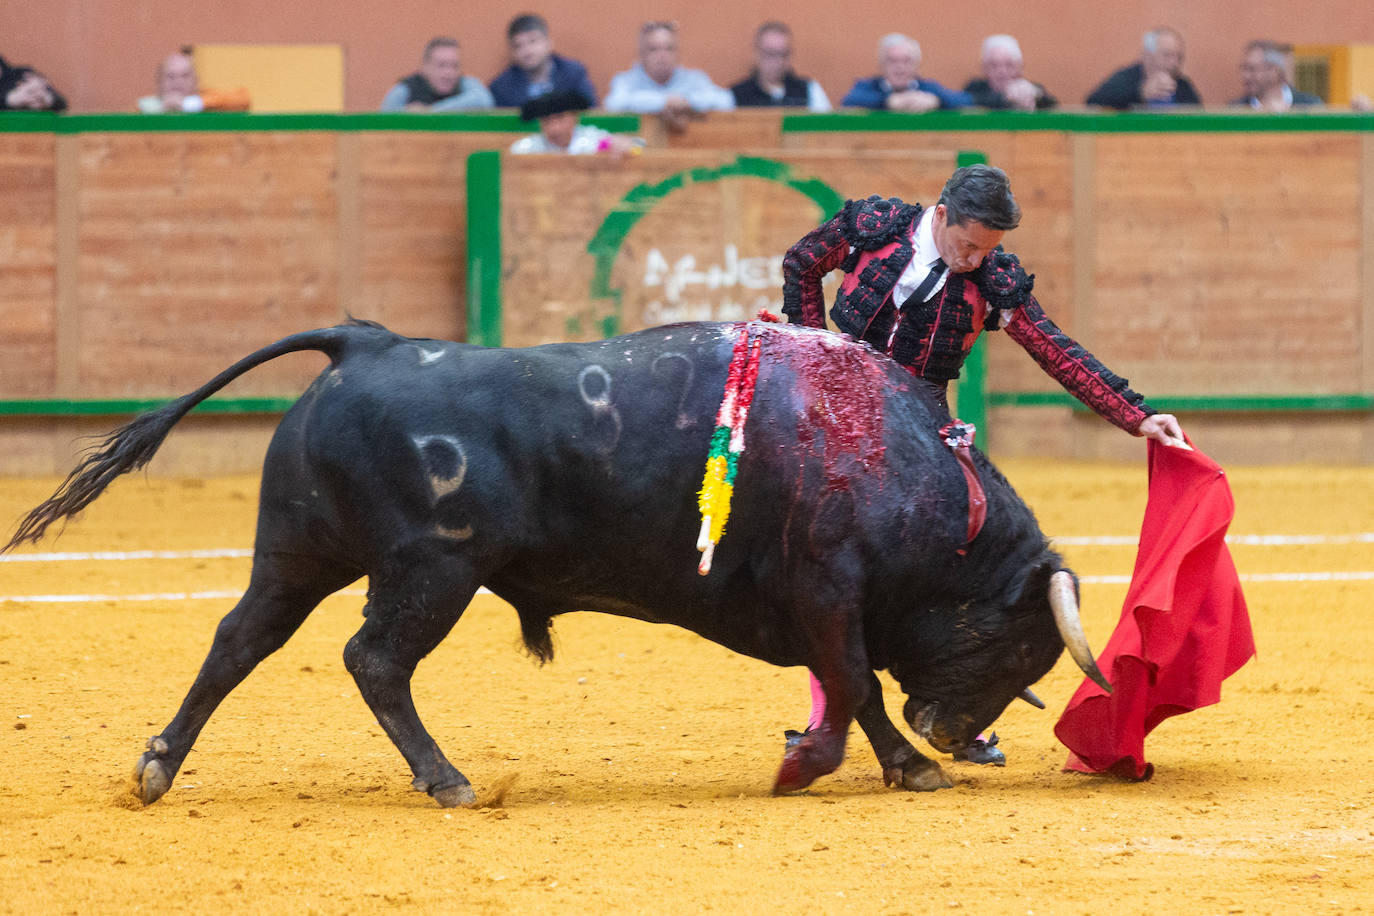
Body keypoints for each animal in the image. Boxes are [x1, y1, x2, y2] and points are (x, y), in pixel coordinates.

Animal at [5, 318, 1110, 807]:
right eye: (1023, 648)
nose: (959, 732)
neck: (904, 460)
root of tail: (366, 342)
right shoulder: (829, 590)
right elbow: (855, 684)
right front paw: (852, 766)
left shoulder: (822, 607)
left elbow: (855, 686)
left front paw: (885, 762)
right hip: (432, 570)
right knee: (375, 660)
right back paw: (449, 781)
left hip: (296, 553)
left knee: (240, 640)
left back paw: (157, 765)